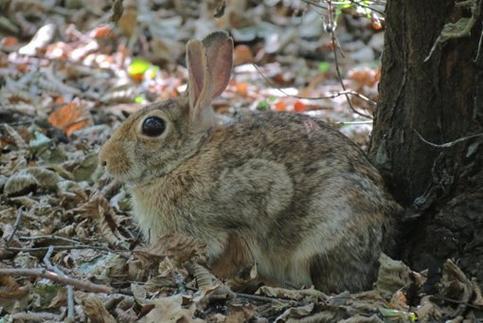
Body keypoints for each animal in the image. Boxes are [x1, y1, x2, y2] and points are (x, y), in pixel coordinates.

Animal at [99, 31, 400, 294]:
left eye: (152, 126)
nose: (104, 160)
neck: (188, 157)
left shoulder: (244, 212)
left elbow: (236, 251)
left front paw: (217, 275)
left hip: (324, 233)